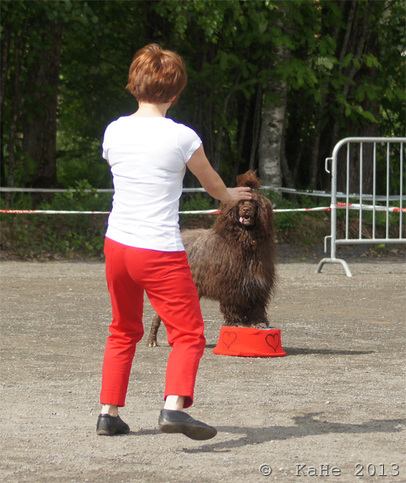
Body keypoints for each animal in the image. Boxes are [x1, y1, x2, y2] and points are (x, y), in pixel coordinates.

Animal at [147, 170, 277, 347]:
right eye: (240, 203)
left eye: (253, 203)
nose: (246, 210)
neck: (244, 242)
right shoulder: (232, 286)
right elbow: (233, 307)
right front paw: (236, 323)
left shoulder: (257, 286)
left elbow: (256, 307)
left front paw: (257, 323)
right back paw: (152, 340)